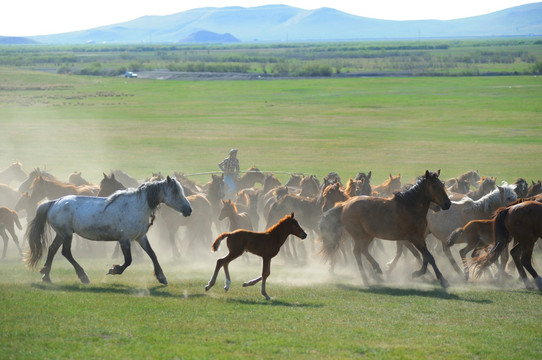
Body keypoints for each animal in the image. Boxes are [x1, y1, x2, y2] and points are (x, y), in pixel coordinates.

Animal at [25, 176, 192, 286]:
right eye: (176, 192)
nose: (189, 210)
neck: (137, 206)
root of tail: (54, 202)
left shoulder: (140, 237)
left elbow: (152, 254)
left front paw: (162, 277)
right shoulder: (124, 240)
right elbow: (128, 260)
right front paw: (114, 270)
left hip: (61, 234)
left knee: (52, 249)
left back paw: (46, 276)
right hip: (66, 234)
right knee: (65, 252)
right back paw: (83, 276)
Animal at [320, 170, 452, 288]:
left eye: (442, 185)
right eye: (434, 186)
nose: (447, 204)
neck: (410, 206)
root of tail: (344, 205)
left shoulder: (418, 238)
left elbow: (425, 257)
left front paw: (424, 274)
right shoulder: (415, 238)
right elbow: (428, 257)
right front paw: (437, 278)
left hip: (368, 235)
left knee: (364, 250)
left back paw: (377, 269)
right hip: (359, 236)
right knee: (357, 252)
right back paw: (365, 278)